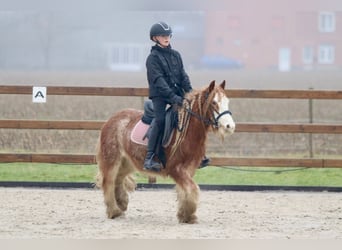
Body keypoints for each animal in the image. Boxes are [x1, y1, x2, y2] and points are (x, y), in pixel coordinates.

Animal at [95, 80, 235, 225]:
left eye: (227, 101)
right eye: (214, 102)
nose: (230, 127)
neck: (187, 131)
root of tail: (112, 119)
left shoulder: (189, 168)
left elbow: (184, 191)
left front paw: (185, 215)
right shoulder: (176, 169)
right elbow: (192, 188)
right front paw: (189, 213)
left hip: (127, 162)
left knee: (118, 179)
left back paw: (122, 203)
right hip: (112, 159)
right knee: (108, 182)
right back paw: (114, 211)